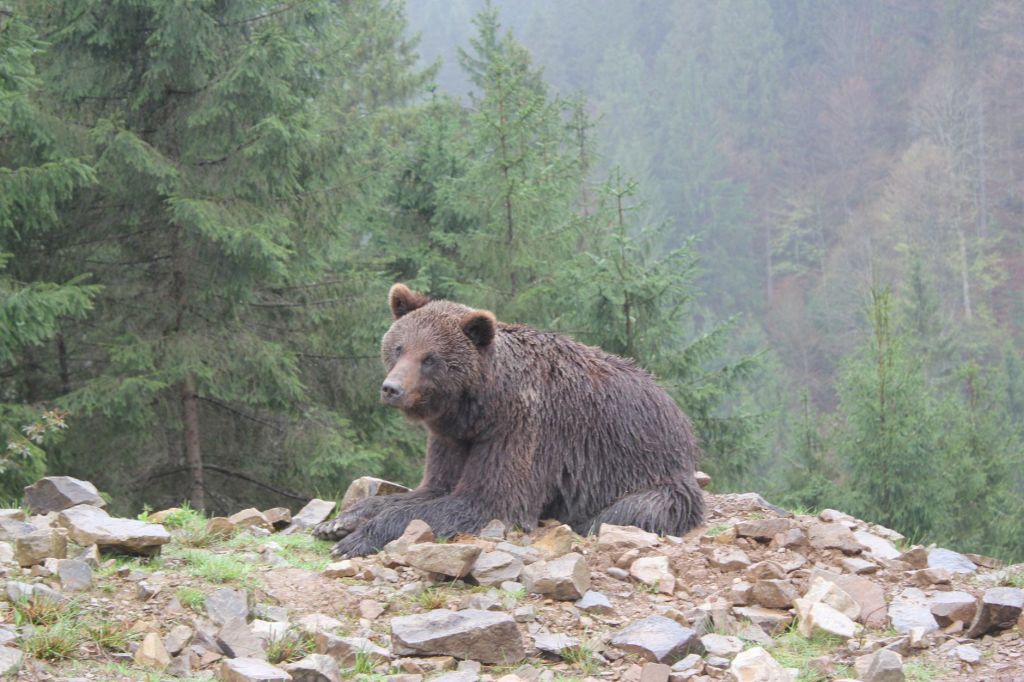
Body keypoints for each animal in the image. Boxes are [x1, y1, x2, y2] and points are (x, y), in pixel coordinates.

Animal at [313, 284, 705, 558]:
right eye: (398, 347)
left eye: (430, 358)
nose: (391, 388)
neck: (480, 406)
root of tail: (678, 414)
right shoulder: (453, 436)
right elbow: (430, 488)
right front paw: (338, 522)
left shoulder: (522, 429)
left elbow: (488, 501)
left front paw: (357, 539)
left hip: (650, 473)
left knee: (629, 511)